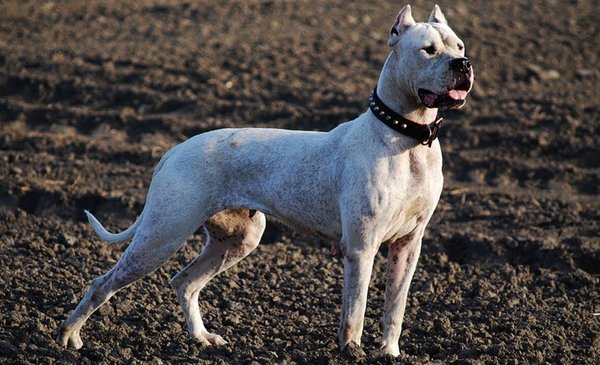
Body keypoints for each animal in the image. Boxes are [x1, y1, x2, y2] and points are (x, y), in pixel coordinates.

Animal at [59, 4, 474, 356]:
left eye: (459, 45)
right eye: (428, 50)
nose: (463, 64)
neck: (407, 137)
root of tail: (173, 151)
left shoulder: (408, 246)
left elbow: (394, 309)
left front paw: (389, 353)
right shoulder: (361, 247)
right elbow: (354, 311)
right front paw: (352, 353)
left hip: (238, 240)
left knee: (184, 282)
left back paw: (202, 338)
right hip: (161, 236)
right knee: (102, 285)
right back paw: (69, 337)